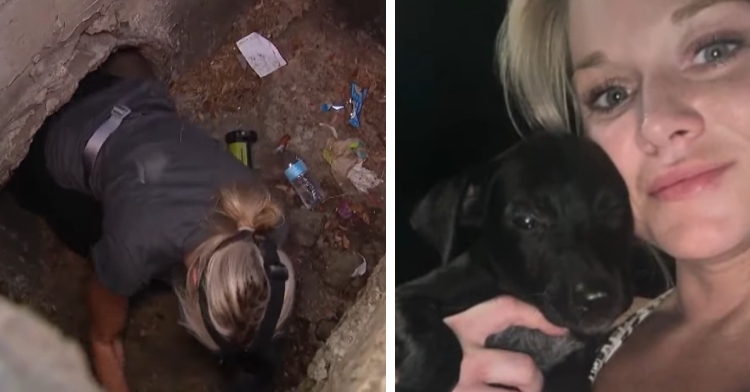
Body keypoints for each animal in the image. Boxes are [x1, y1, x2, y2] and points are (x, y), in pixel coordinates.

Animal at [396, 132, 636, 392]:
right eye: (525, 220)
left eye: (614, 209)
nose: (598, 299)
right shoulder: (408, 294)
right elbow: (432, 331)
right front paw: (425, 377)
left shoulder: (574, 363)